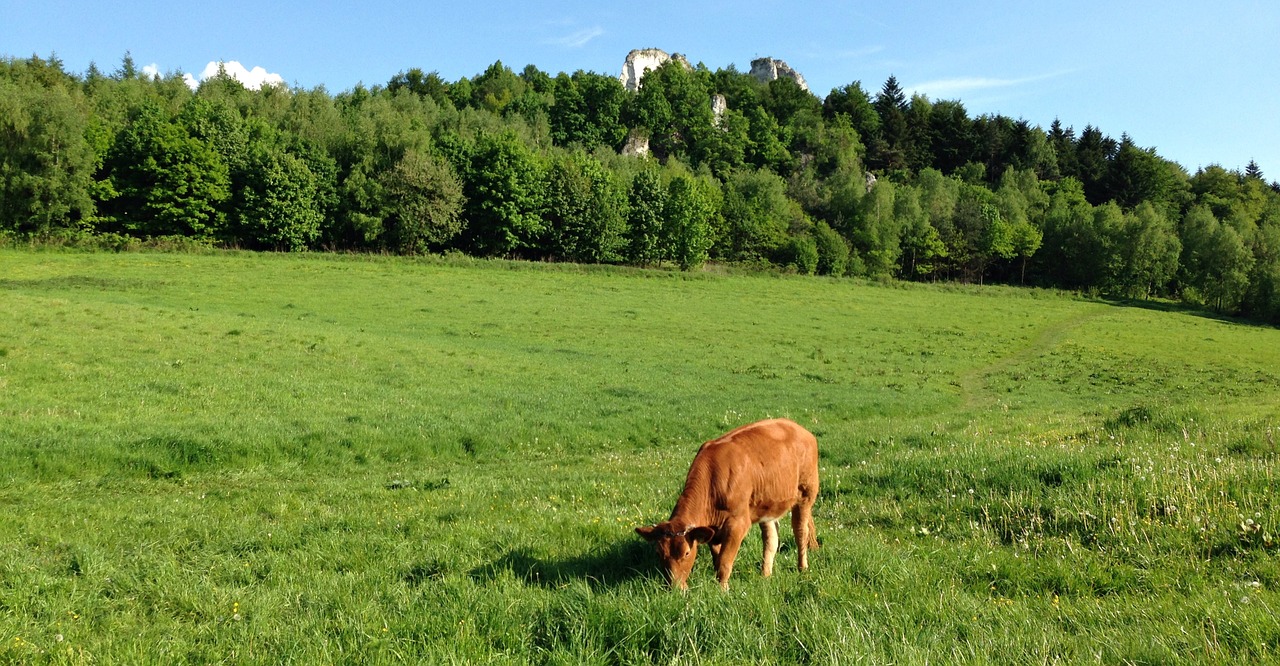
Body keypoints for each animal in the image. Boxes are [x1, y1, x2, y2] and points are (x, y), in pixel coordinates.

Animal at [632, 420, 819, 591]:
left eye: (686, 552)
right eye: (659, 553)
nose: (675, 588)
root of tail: (799, 428)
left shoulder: (737, 523)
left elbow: (724, 561)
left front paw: (723, 591)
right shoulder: (713, 530)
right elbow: (717, 559)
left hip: (806, 494)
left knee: (800, 532)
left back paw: (802, 568)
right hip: (767, 505)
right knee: (771, 538)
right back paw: (765, 575)